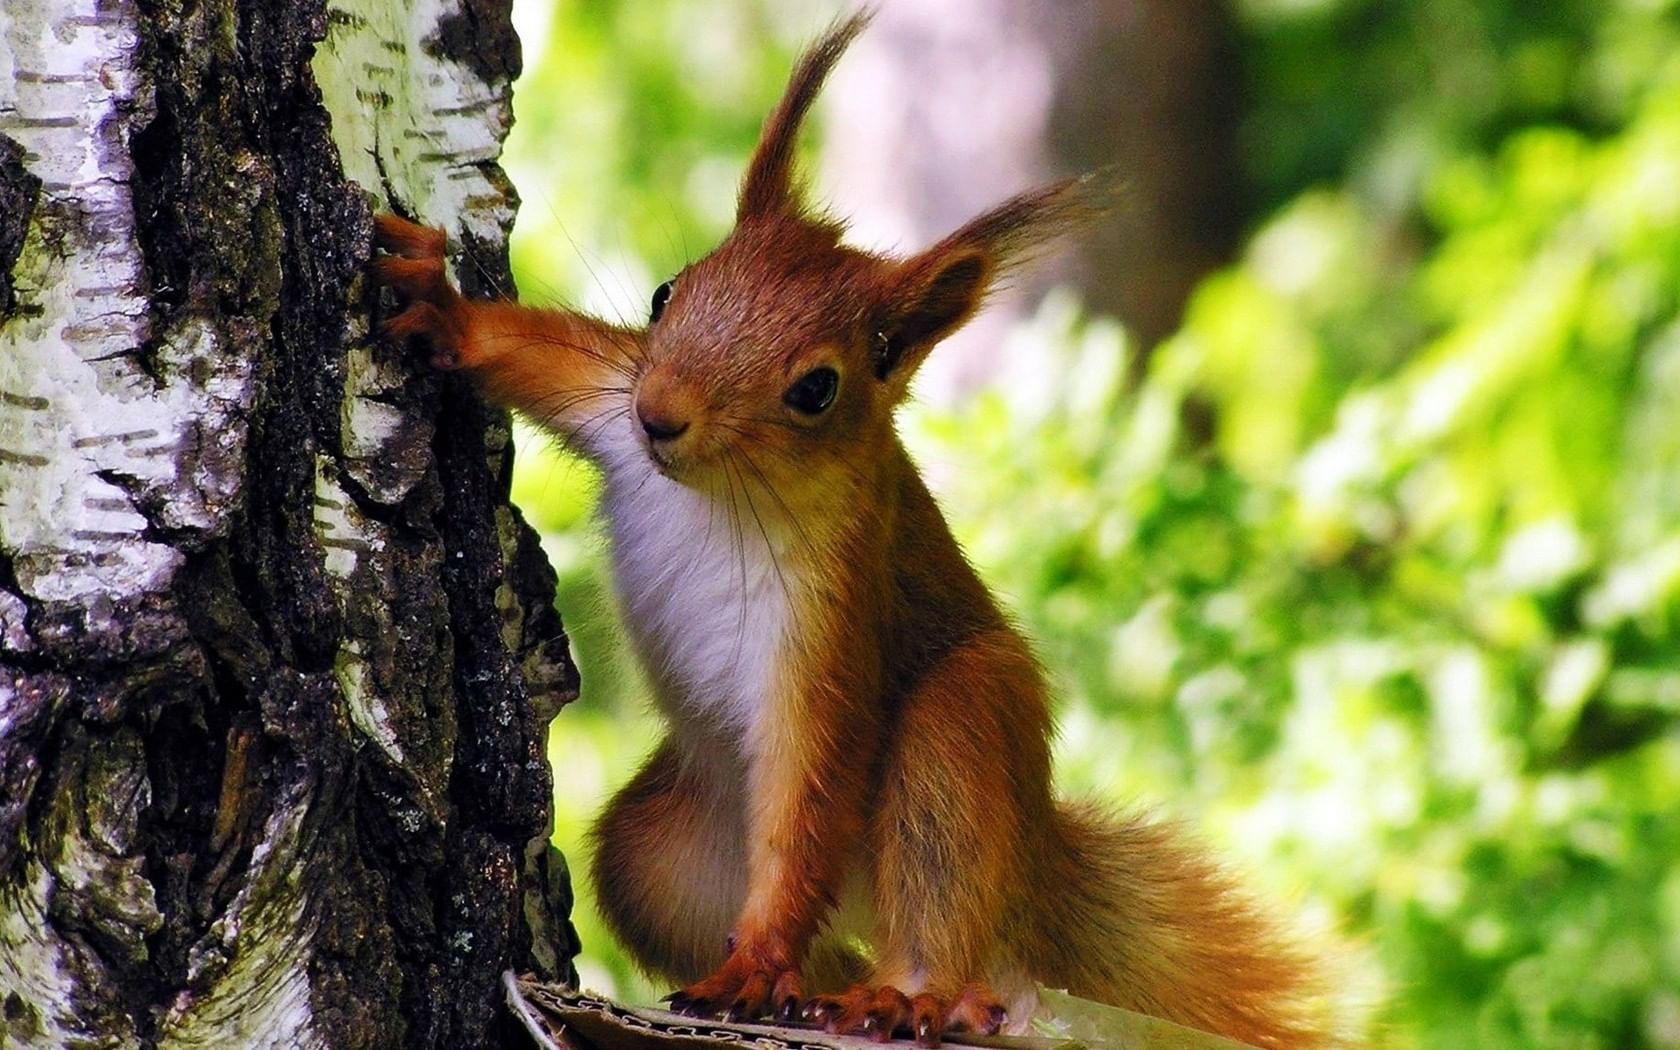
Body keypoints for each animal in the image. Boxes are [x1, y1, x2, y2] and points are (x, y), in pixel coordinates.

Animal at [374, 10, 1344, 1048]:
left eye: (815, 389)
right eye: (670, 293)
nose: (661, 416)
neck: (718, 491)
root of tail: (1033, 876)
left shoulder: (834, 607)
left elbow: (811, 781)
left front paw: (755, 961)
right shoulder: (610, 395)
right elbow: (541, 355)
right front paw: (443, 310)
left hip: (961, 737)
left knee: (940, 907)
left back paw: (904, 993)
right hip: (661, 855)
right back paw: (808, 990)